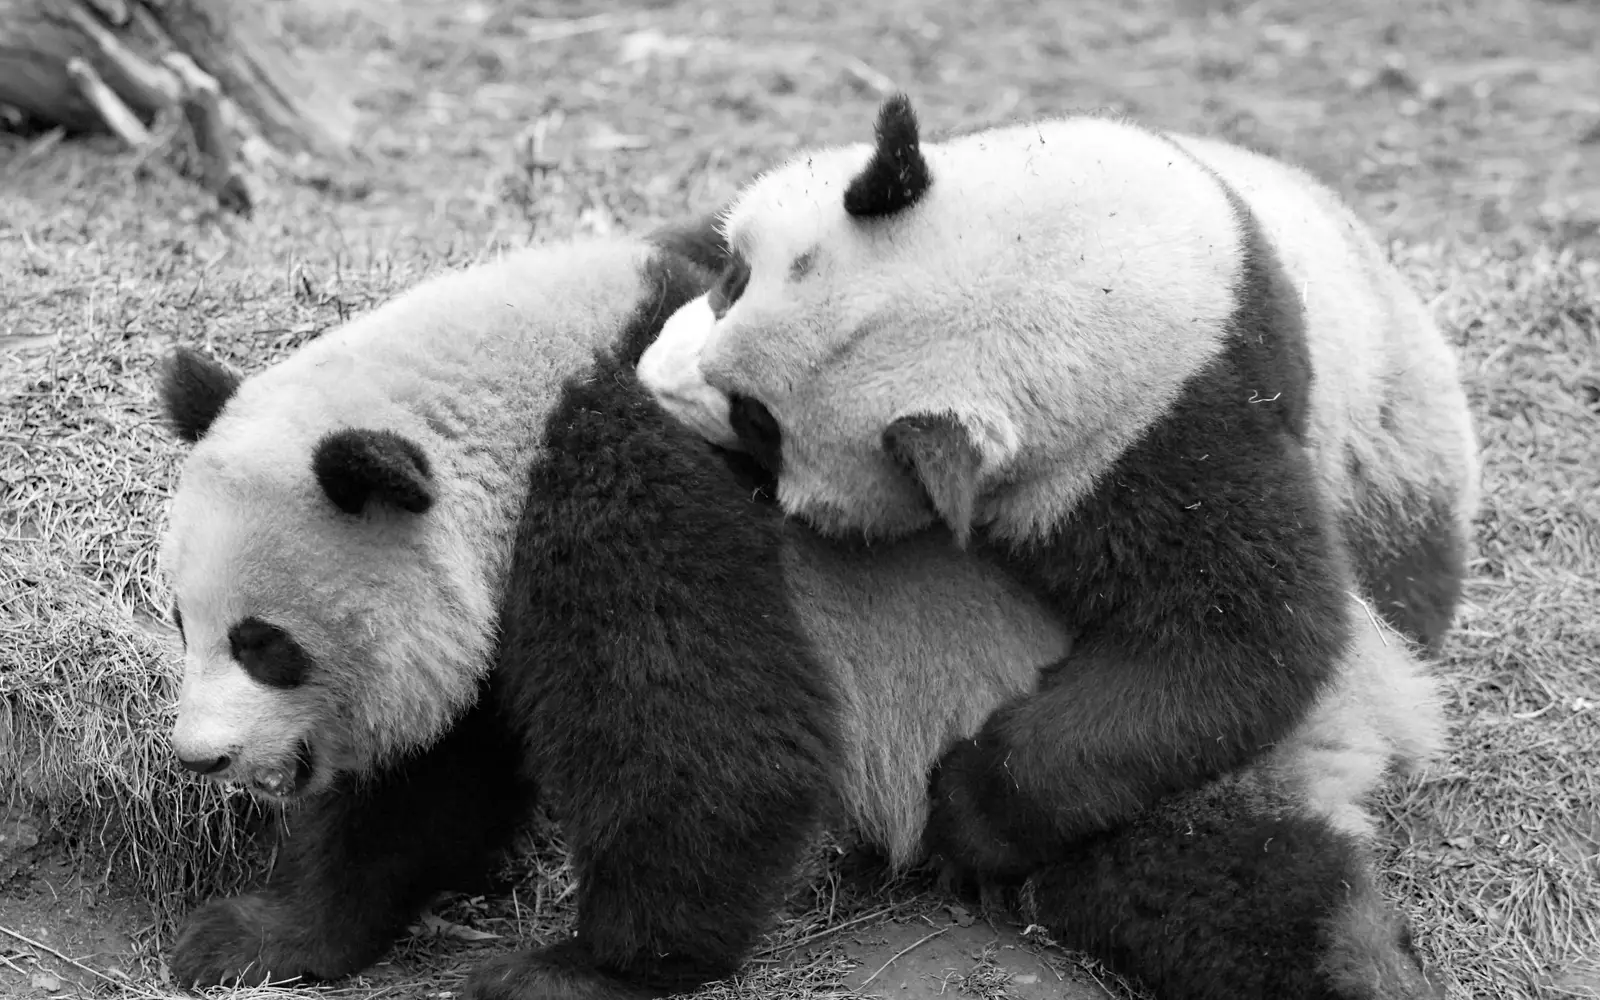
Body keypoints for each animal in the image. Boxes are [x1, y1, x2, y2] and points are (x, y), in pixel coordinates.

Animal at [155, 231, 1450, 1000]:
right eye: (181, 621)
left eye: (265, 645)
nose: (197, 756)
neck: (506, 387)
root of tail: (1389, 690)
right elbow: (427, 781)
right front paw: (259, 935)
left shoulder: (625, 486)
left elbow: (709, 747)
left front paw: (572, 969)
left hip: (1124, 738)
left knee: (1218, 874)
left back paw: (1353, 956)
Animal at [639, 95, 1480, 993]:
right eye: (733, 282)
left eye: (760, 423)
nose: (654, 378)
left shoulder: (1166, 437)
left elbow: (1247, 636)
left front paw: (962, 805)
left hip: (1396, 484)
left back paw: (1354, 959)